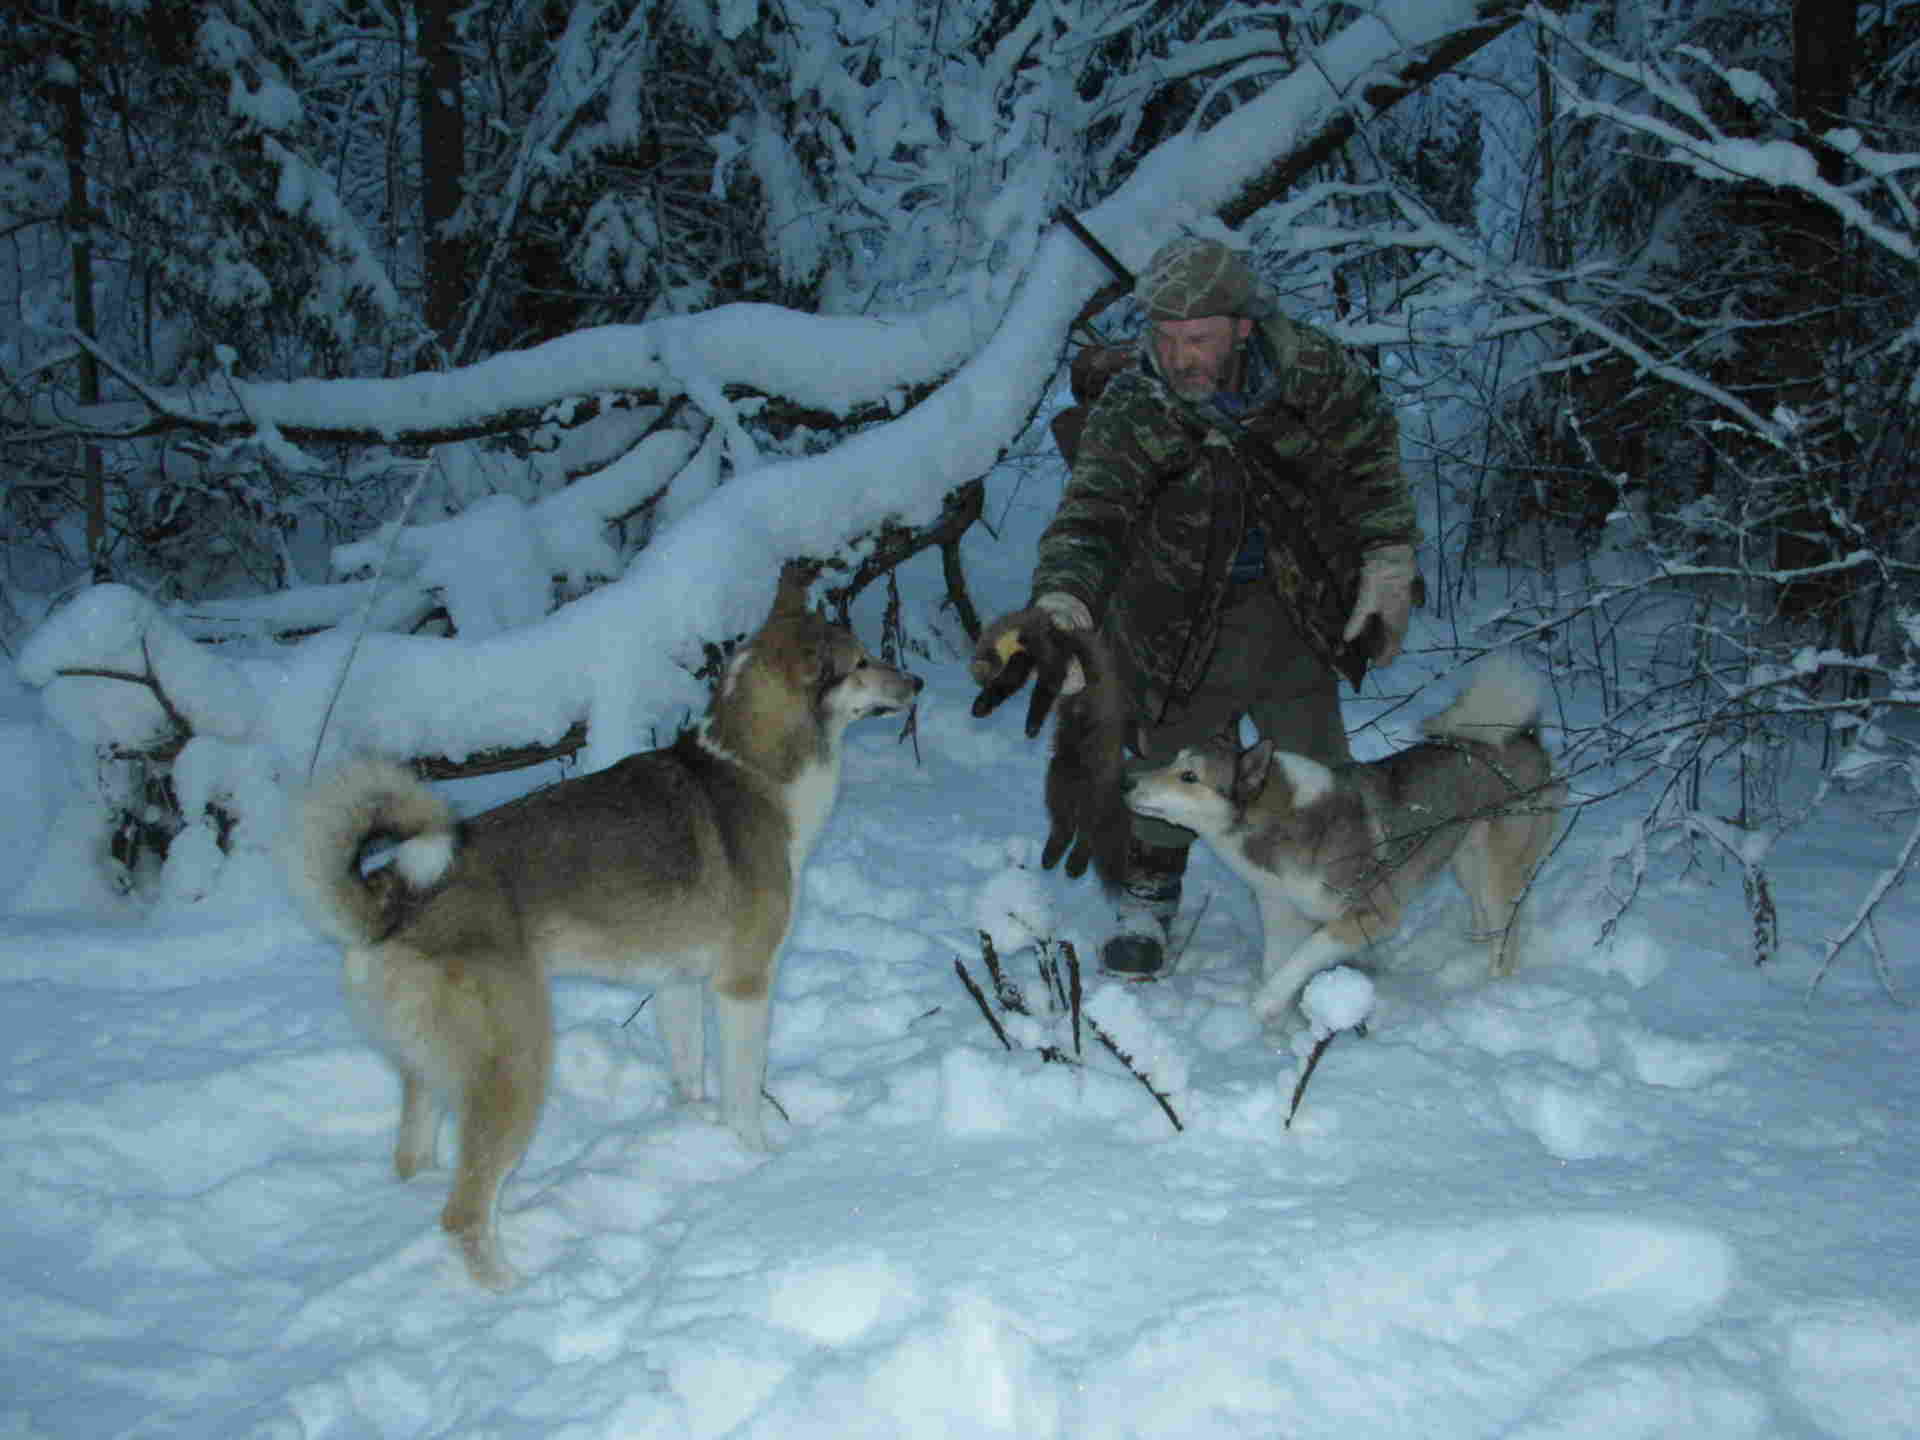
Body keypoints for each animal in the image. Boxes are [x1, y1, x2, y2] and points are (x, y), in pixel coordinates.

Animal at [286, 568, 921, 1290]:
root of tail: (389, 895)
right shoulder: (743, 986)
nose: (917, 683)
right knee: (463, 1212)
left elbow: (688, 1077)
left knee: (415, 1162)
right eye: (861, 662)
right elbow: (743, 1096)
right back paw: (512, 1289)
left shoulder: (677, 985)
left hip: (432, 1073)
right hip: (519, 1064)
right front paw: (756, 1160)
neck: (751, 771)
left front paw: (692, 1132)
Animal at [1121, 660, 1559, 1029]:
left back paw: (1494, 988)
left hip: (1497, 869)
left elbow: (1302, 957)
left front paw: (1266, 1005)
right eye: (1173, 761)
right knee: (1485, 915)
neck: (1280, 823)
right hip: (1465, 860)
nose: (1126, 783)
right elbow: (1275, 964)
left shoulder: (1371, 916)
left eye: (1189, 777)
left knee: (1506, 933)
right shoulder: (1280, 913)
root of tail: (1525, 737)